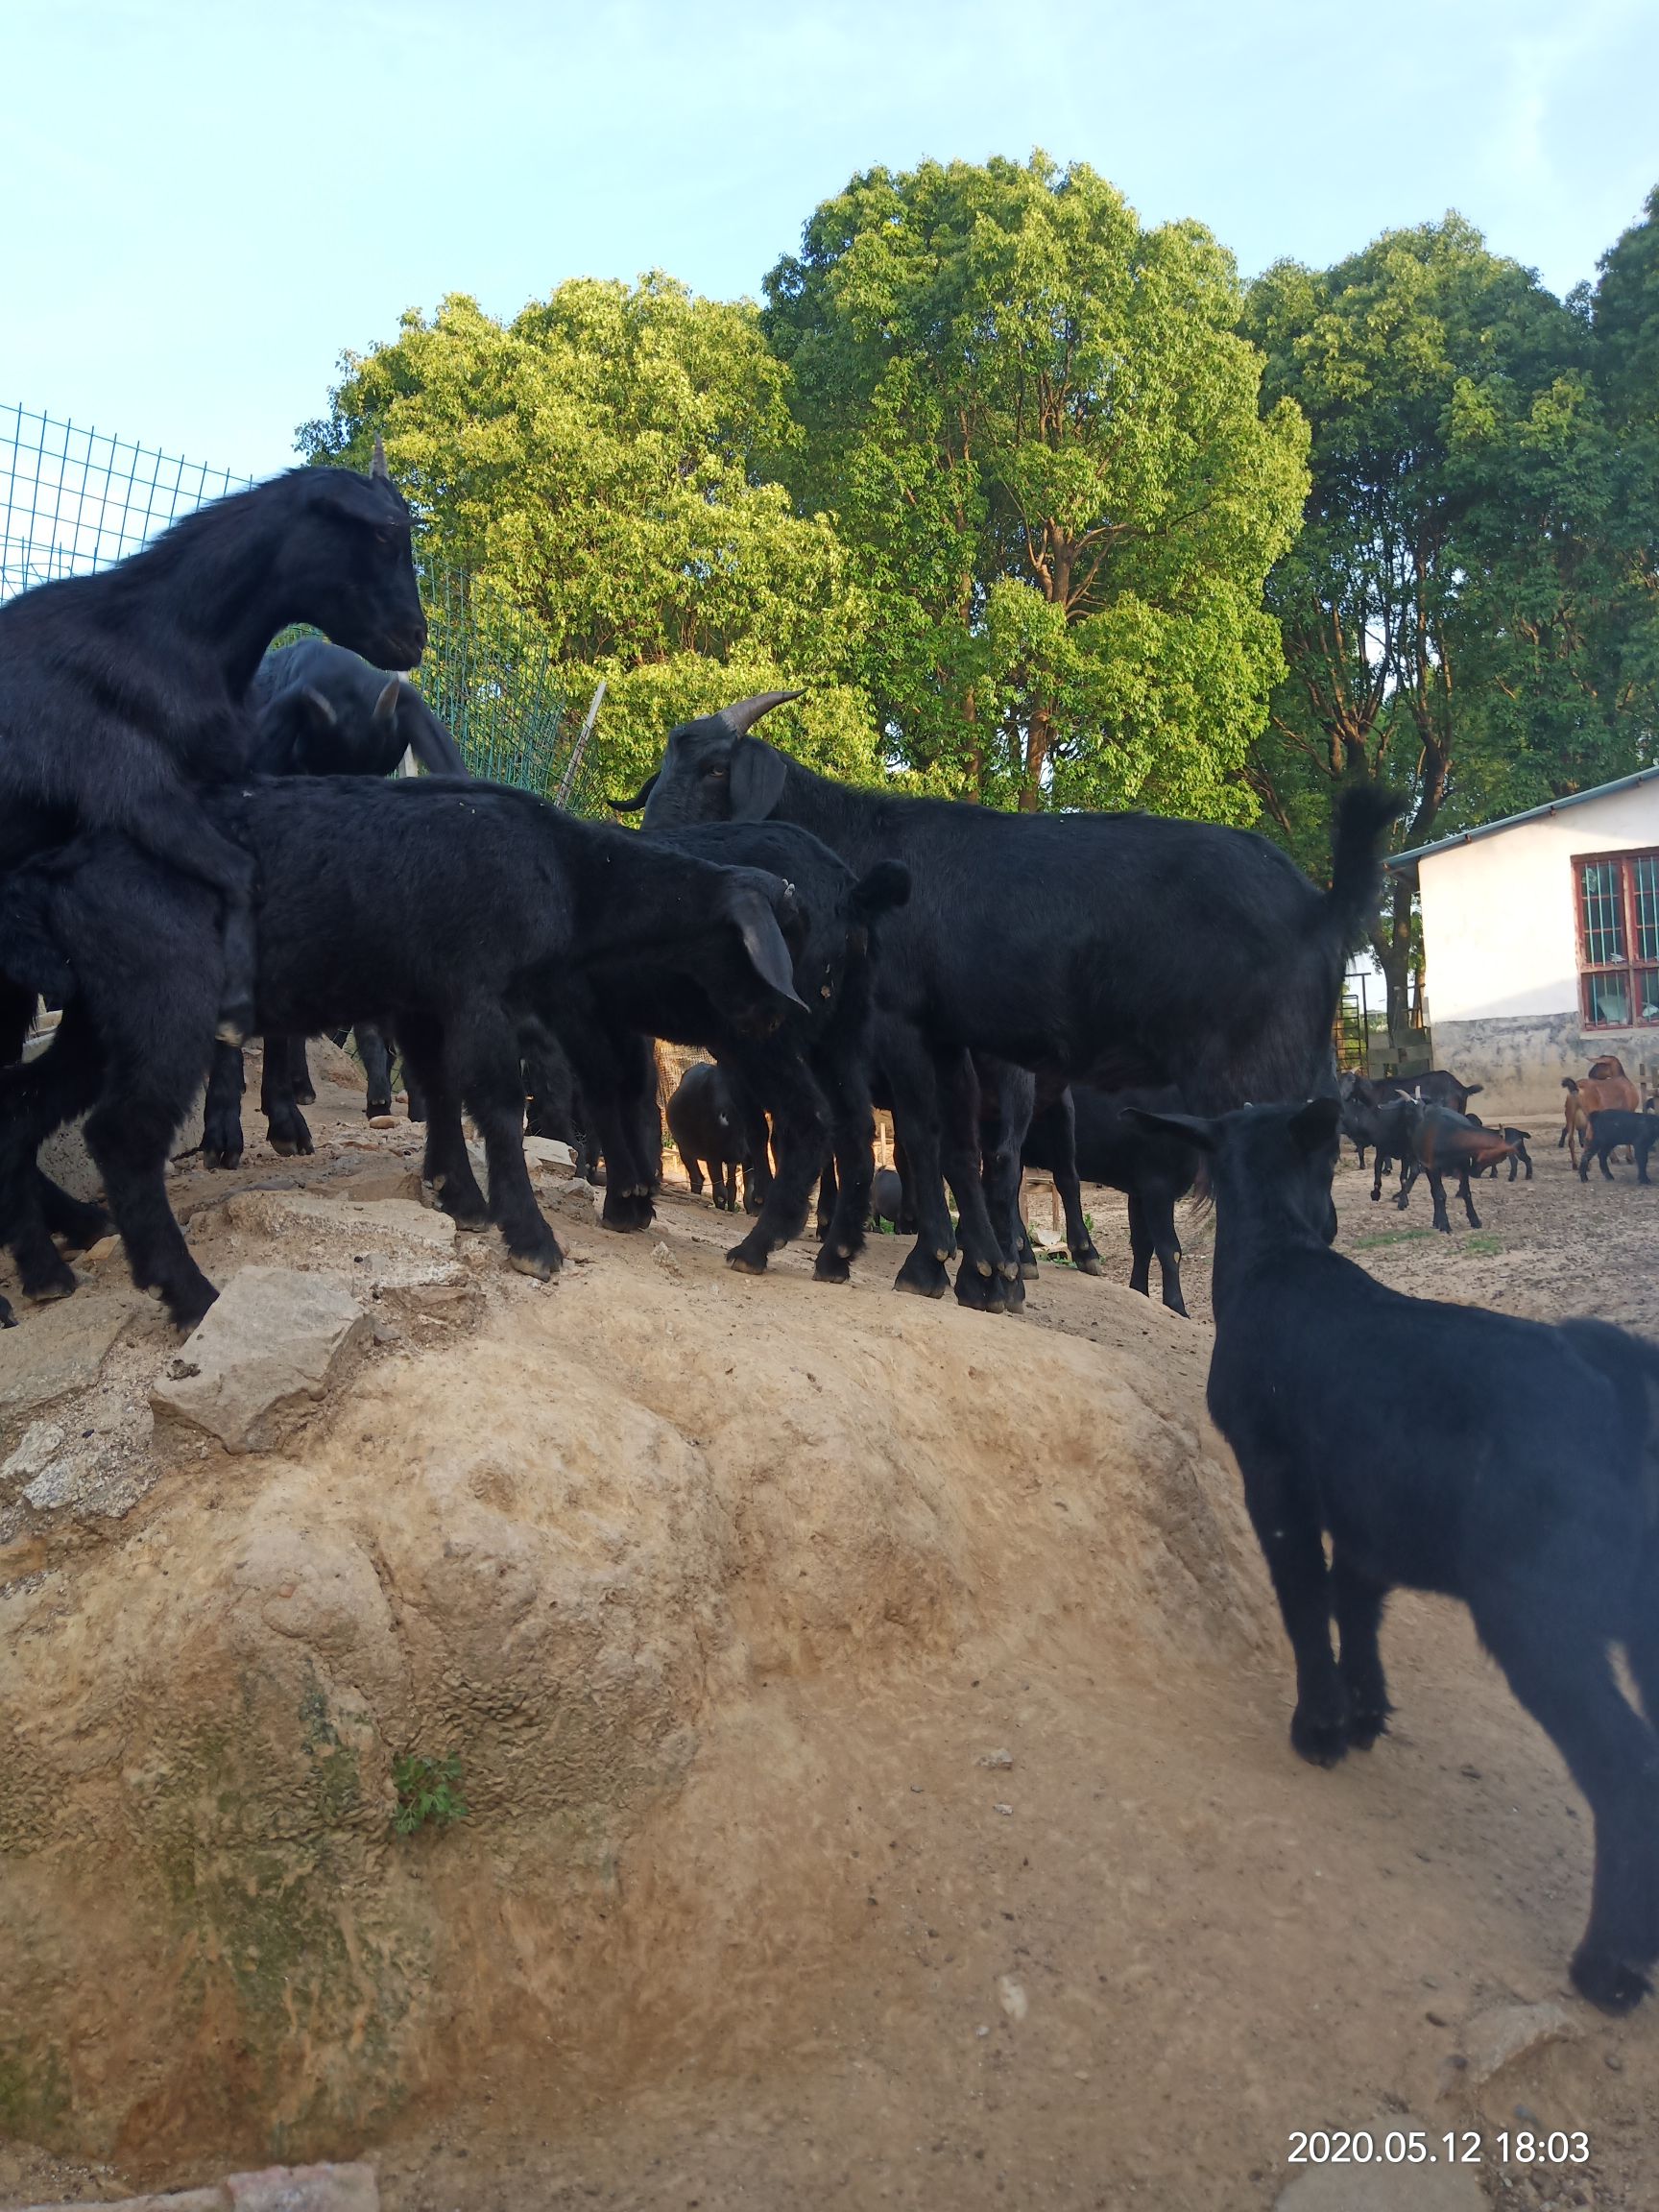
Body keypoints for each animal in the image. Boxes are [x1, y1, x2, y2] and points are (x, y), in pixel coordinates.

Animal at [0, 782, 813, 1327]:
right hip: (165, 998)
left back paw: (44, 1271)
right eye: (773, 938)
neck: (571, 869)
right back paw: (189, 1293)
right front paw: (530, 1239)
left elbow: (443, 1092)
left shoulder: (427, 997)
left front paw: (462, 1198)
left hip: (96, 1017)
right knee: (122, 1135)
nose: (780, 1018)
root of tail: (57, 872)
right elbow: (496, 1104)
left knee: (23, 1110)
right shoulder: (478, 984)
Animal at [623, 699, 1407, 1300]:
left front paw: (925, 1265)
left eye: (716, 768)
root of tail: (1321, 906)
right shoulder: (945, 1035)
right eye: (662, 768)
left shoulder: (894, 1020)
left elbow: (917, 1138)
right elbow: (953, 1148)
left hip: (1253, 1074)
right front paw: (978, 1272)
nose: (650, 845)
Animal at [1141, 1096, 1659, 2017]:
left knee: (1628, 1767)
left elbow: (1304, 1597)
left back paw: (1608, 1968)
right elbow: (1354, 1597)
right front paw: (1366, 1709)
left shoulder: (1276, 1478)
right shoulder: (1368, 1507)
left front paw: (1319, 1726)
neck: (1277, 1256)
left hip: (1542, 1615)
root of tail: (1622, 1394)